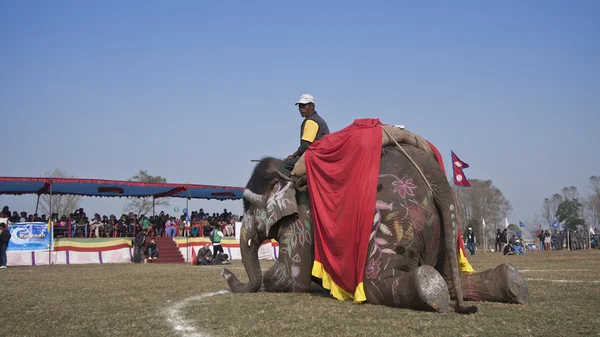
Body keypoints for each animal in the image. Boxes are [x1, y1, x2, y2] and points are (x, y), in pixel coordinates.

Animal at [223, 120, 528, 312]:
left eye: (247, 205)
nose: (226, 272)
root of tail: (434, 174)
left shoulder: (301, 221)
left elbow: (289, 278)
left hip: (399, 218)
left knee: (380, 284)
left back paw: (429, 290)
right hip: (444, 226)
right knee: (452, 280)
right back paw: (510, 281)